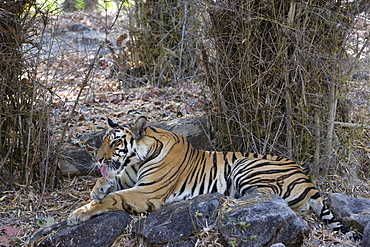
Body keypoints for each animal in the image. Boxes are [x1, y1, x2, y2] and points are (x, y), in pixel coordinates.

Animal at [66, 116, 356, 239]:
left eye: (115, 143)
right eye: (103, 141)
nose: (97, 159)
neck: (137, 160)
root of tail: (308, 179)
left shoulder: (147, 191)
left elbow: (113, 199)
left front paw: (79, 213)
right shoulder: (129, 178)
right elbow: (109, 183)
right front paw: (96, 189)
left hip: (246, 165)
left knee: (266, 198)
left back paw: (227, 201)